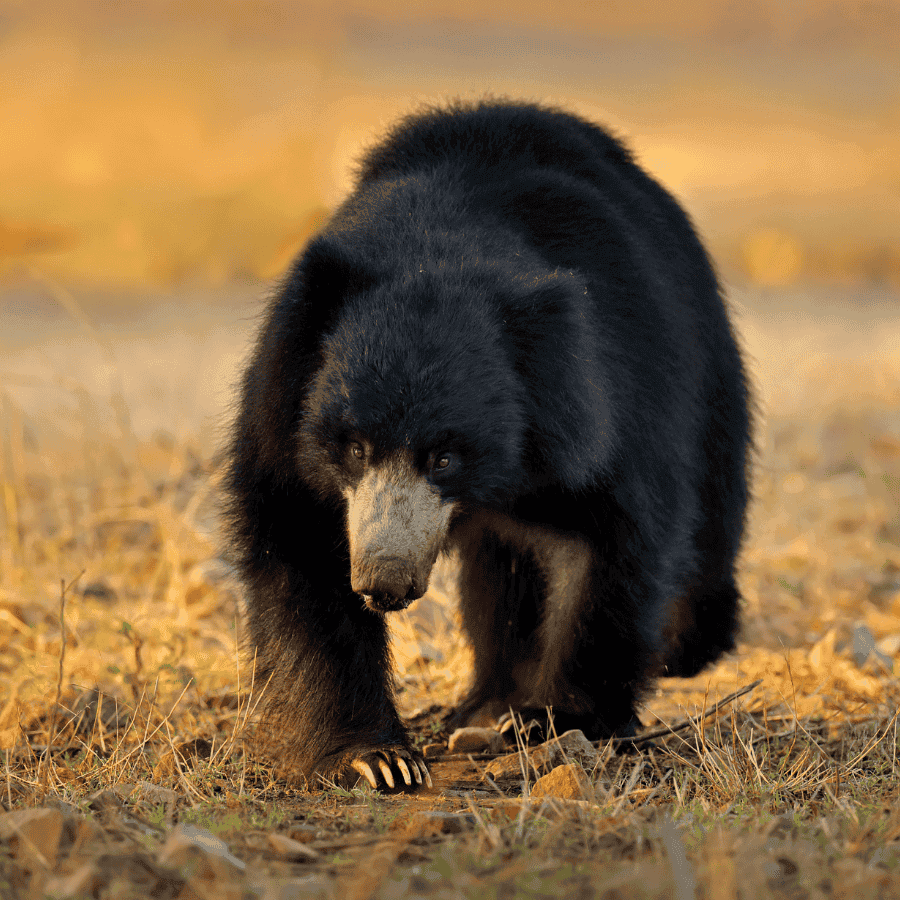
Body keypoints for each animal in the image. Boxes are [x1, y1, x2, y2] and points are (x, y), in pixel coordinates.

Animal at [224, 99, 752, 792]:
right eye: (354, 447)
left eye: (446, 457)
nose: (383, 581)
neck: (441, 243)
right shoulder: (282, 409)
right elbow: (301, 547)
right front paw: (378, 759)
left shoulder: (611, 393)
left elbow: (614, 540)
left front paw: (553, 720)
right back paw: (484, 702)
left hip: (711, 373)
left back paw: (680, 646)